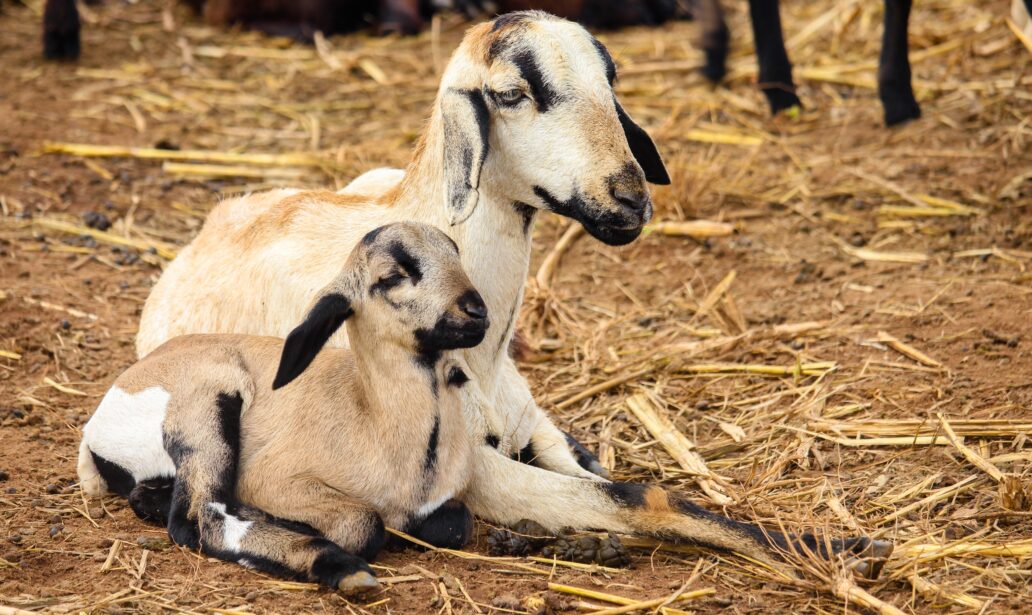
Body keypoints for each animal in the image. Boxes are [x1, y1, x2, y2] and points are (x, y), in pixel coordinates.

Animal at [77, 223, 487, 594]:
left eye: (455, 253)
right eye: (392, 277)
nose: (477, 310)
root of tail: (94, 428)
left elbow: (456, 522)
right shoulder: (274, 477)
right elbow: (365, 524)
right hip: (206, 407)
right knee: (199, 517)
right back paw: (340, 567)